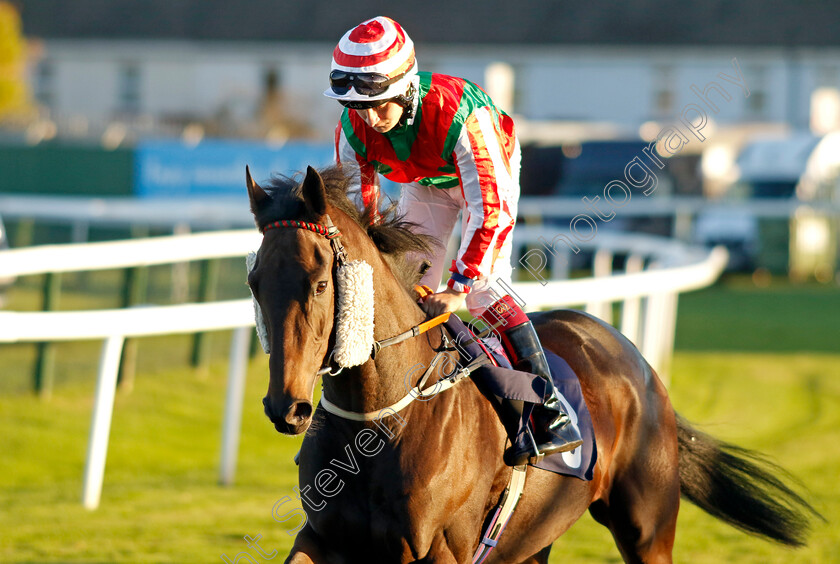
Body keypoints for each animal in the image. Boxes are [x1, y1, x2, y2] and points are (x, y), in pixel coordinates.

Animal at [244, 164, 820, 564]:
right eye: (254, 282)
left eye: (321, 283)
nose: (286, 407)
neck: (382, 418)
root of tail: (634, 357)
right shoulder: (324, 537)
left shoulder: (444, 549)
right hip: (533, 537)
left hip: (648, 528)